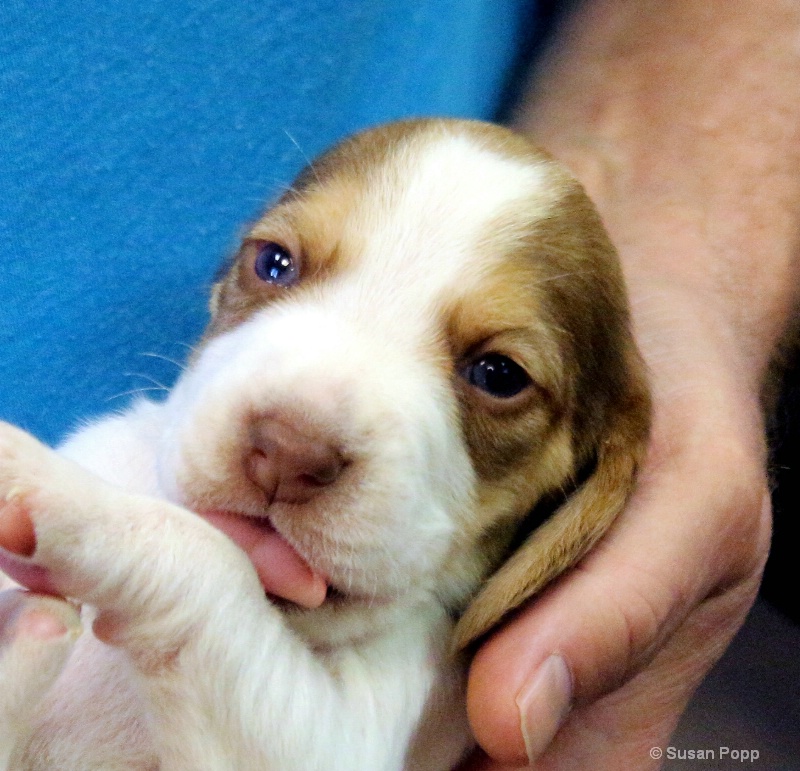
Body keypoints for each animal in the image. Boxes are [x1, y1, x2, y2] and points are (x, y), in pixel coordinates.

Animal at [0, 120, 648, 771]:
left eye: (498, 375)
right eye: (273, 263)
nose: (287, 454)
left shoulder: (340, 738)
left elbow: (206, 558)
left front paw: (55, 493)